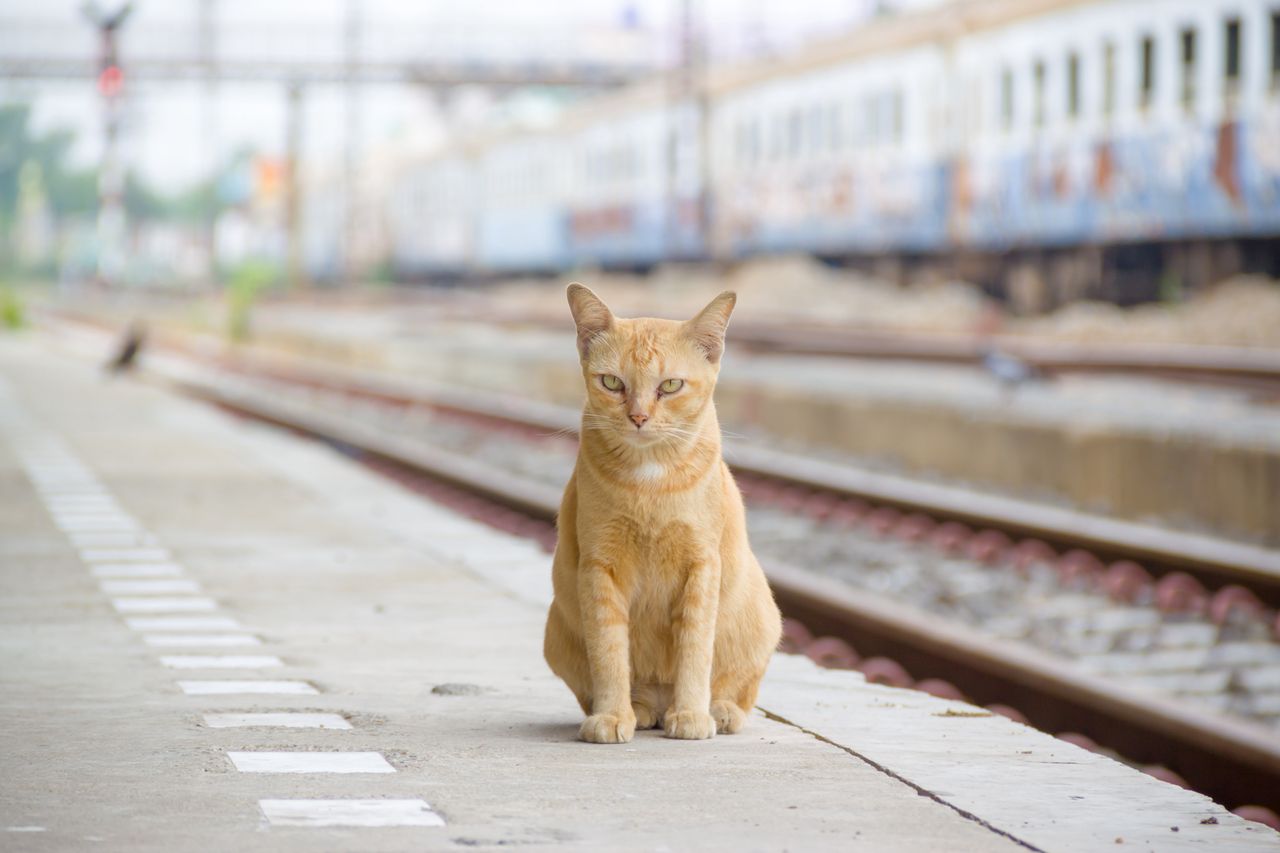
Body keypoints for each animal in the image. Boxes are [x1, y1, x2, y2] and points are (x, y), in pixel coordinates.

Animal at [540, 284, 778, 737]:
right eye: (612, 382)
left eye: (670, 385)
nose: (638, 416)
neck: (649, 478)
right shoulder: (600, 566)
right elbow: (609, 653)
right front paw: (612, 715)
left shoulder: (701, 565)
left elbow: (695, 650)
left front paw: (691, 715)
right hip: (556, 635)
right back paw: (641, 709)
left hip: (762, 622)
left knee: (738, 688)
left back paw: (717, 710)